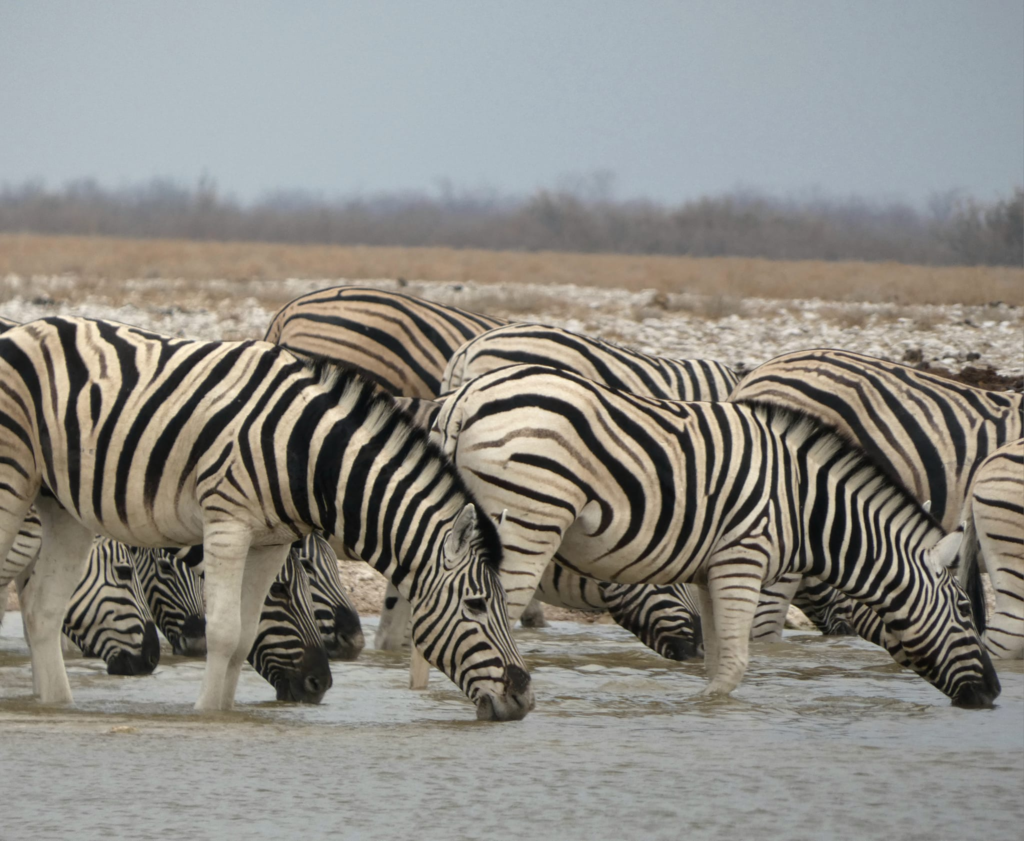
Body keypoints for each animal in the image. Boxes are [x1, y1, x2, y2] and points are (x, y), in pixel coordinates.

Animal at [434, 364, 999, 704]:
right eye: (965, 609)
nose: (993, 693)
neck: (805, 505)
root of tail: (468, 396)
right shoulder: (743, 560)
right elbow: (735, 665)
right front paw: (712, 713)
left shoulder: (710, 569)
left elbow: (715, 662)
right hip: (529, 520)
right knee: (492, 614)